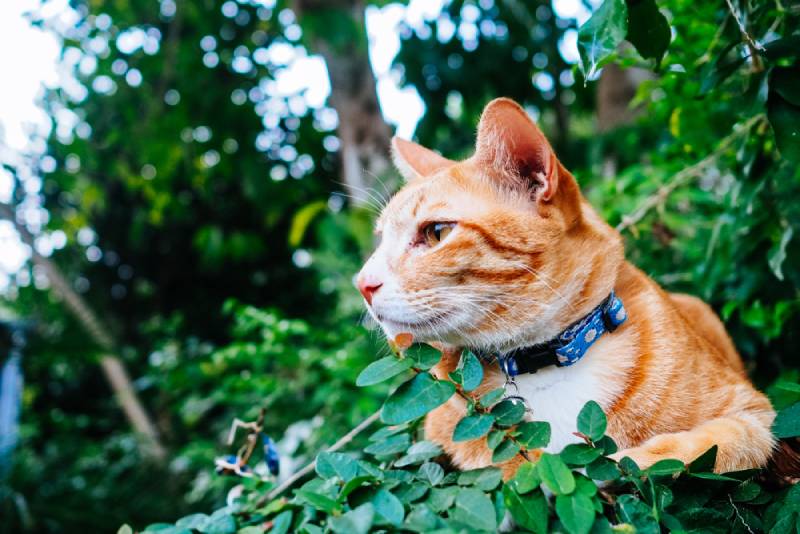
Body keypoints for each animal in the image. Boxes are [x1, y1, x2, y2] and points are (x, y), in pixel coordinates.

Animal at [356, 98, 776, 480]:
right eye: (380, 239)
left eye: (437, 232)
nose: (362, 284)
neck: (545, 360)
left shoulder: (755, 414)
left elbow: (708, 447)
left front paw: (632, 461)